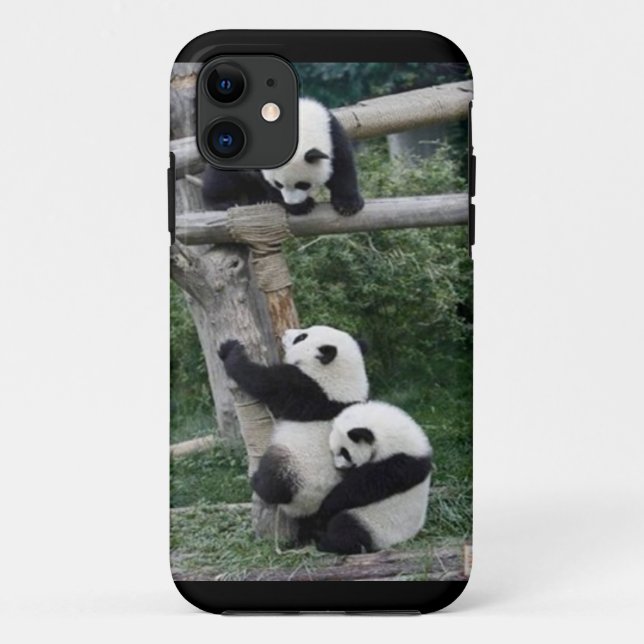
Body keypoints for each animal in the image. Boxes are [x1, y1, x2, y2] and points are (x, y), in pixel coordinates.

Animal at [203, 98, 364, 216]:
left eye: (303, 184)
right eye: (278, 184)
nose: (293, 202)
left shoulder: (331, 132)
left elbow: (342, 165)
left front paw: (348, 204)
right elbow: (264, 180)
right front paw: (301, 207)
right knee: (222, 179)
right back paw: (222, 202)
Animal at [218, 325, 369, 523]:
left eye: (301, 337)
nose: (285, 332)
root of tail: (308, 509)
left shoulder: (303, 389)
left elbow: (260, 381)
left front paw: (229, 350)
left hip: (295, 469)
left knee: (274, 479)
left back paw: (257, 481)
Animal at [311, 401, 433, 554]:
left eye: (345, 452)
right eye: (333, 451)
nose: (338, 467)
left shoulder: (398, 464)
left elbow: (362, 487)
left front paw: (324, 509)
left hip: (378, 525)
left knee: (348, 526)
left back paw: (327, 542)